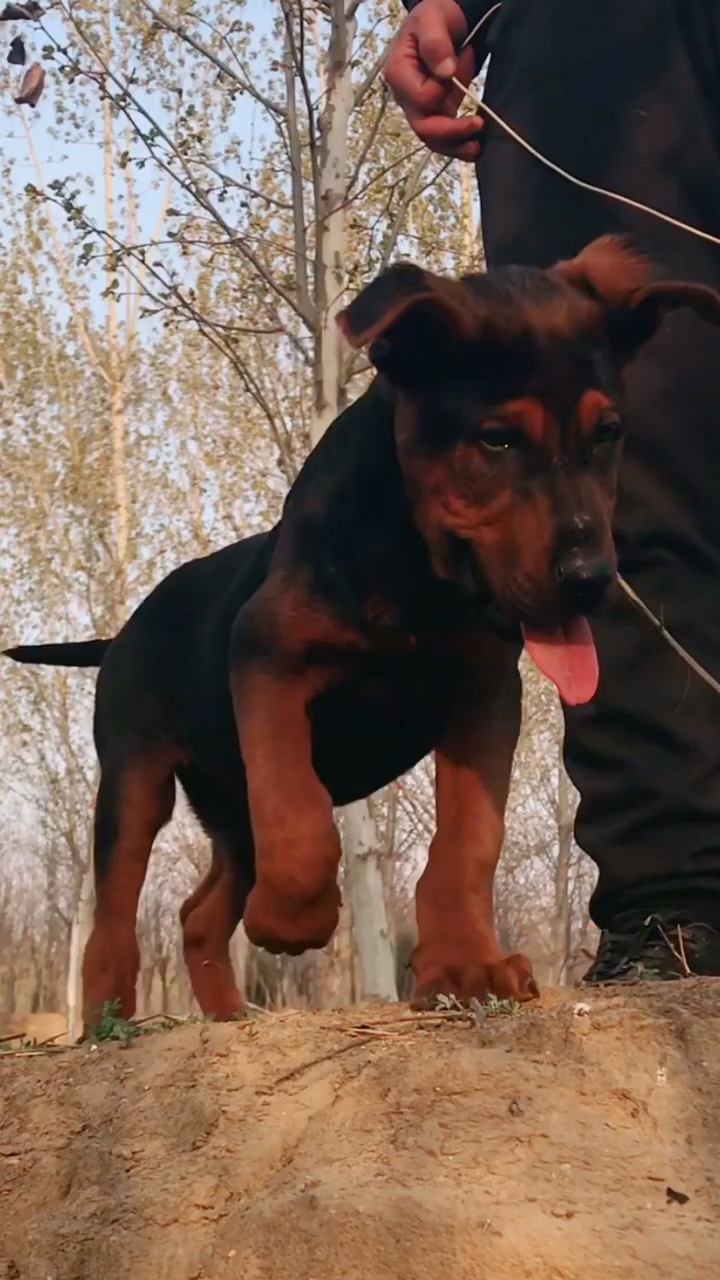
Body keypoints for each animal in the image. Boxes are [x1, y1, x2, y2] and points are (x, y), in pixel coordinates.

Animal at [8, 235, 712, 1024]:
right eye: (496, 440)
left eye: (608, 434)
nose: (591, 578)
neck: (415, 572)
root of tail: (120, 633)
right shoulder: (269, 659)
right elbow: (301, 815)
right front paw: (293, 920)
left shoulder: (484, 698)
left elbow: (469, 842)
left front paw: (466, 966)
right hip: (135, 780)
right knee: (113, 919)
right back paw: (107, 1022)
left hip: (227, 810)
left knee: (197, 915)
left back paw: (228, 1014)